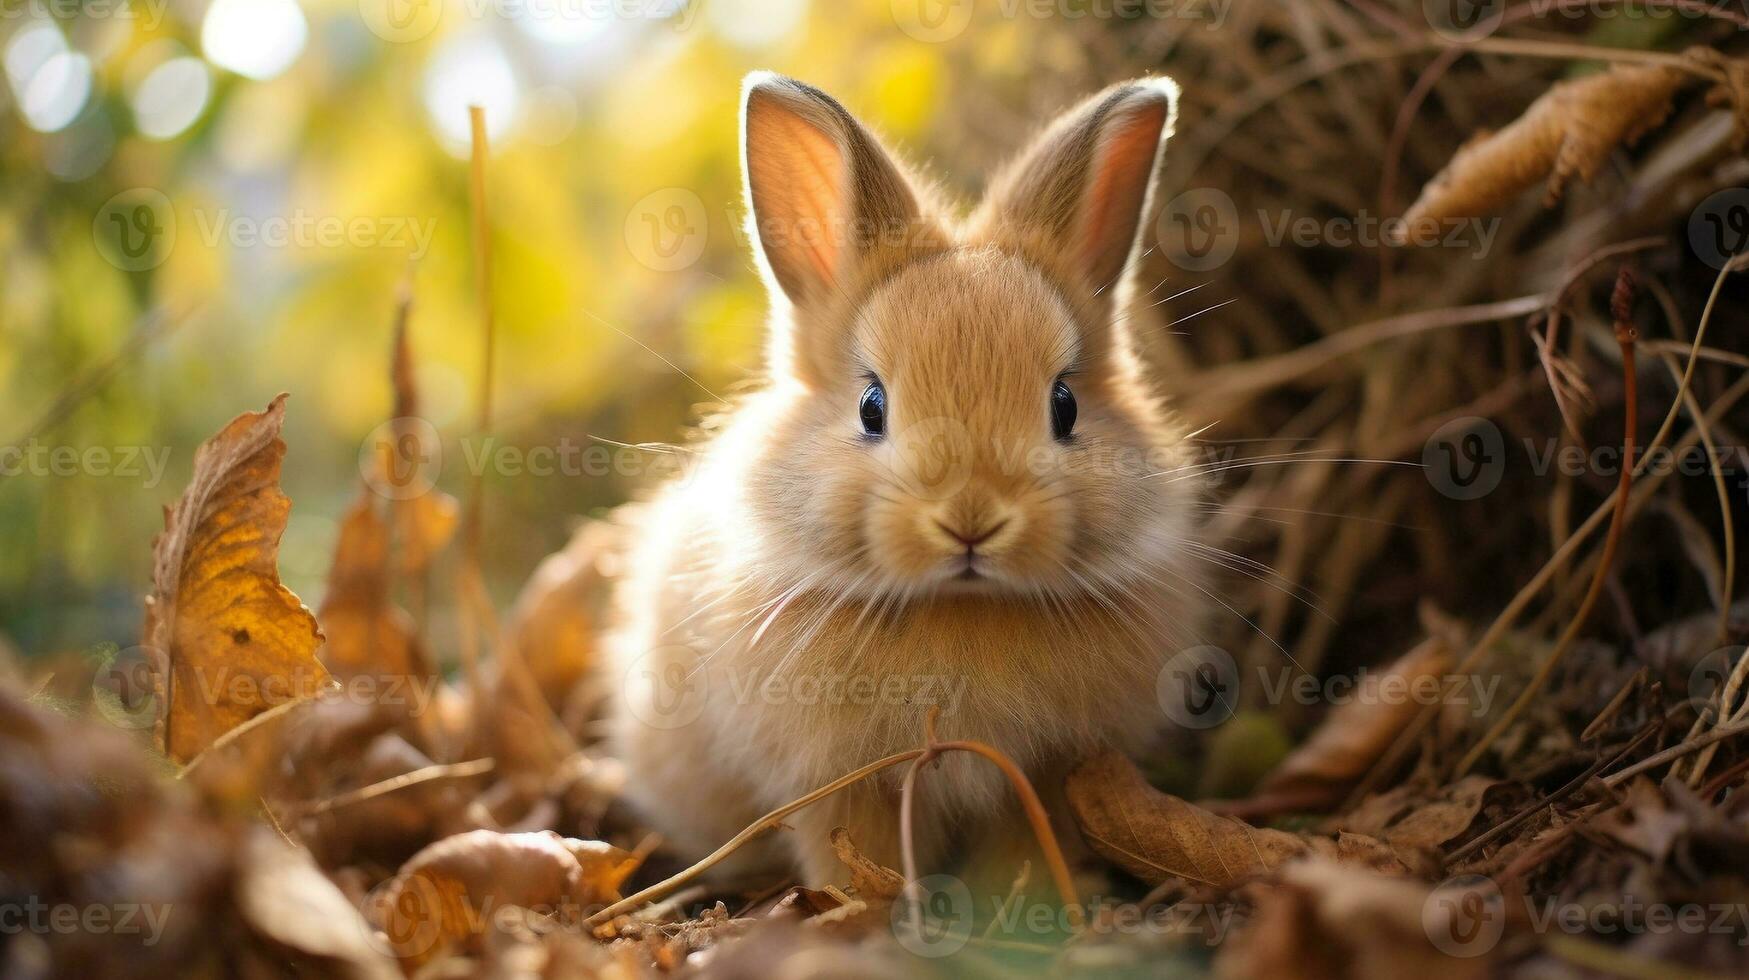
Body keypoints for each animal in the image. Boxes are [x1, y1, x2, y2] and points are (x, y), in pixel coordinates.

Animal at [612, 70, 1203, 889]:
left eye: (1065, 405)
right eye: (872, 407)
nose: (971, 519)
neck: (960, 607)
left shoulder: (1040, 778)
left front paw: (1025, 905)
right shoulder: (834, 783)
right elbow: (852, 856)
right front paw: (867, 912)